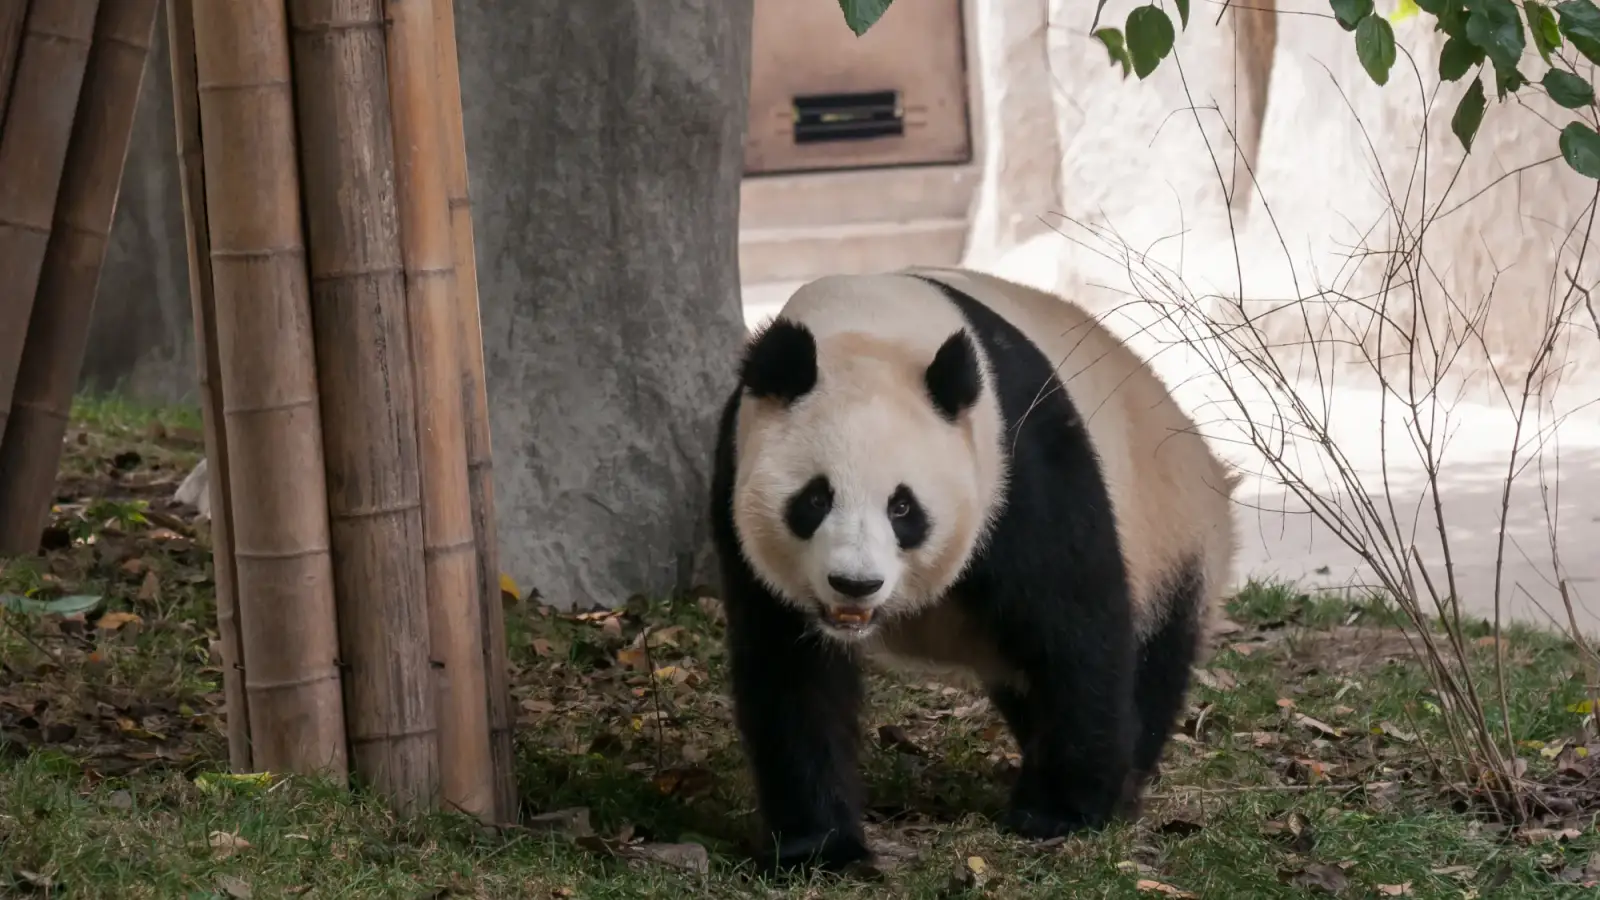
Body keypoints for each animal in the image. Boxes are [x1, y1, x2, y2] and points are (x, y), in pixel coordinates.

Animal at [708, 266, 1240, 873]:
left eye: (903, 507)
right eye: (815, 499)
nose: (855, 585)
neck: (869, 327)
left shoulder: (1019, 460)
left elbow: (1075, 628)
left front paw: (1061, 812)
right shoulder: (736, 479)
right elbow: (793, 676)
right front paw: (820, 848)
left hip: (1173, 536)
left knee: (1152, 657)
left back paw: (1125, 781)